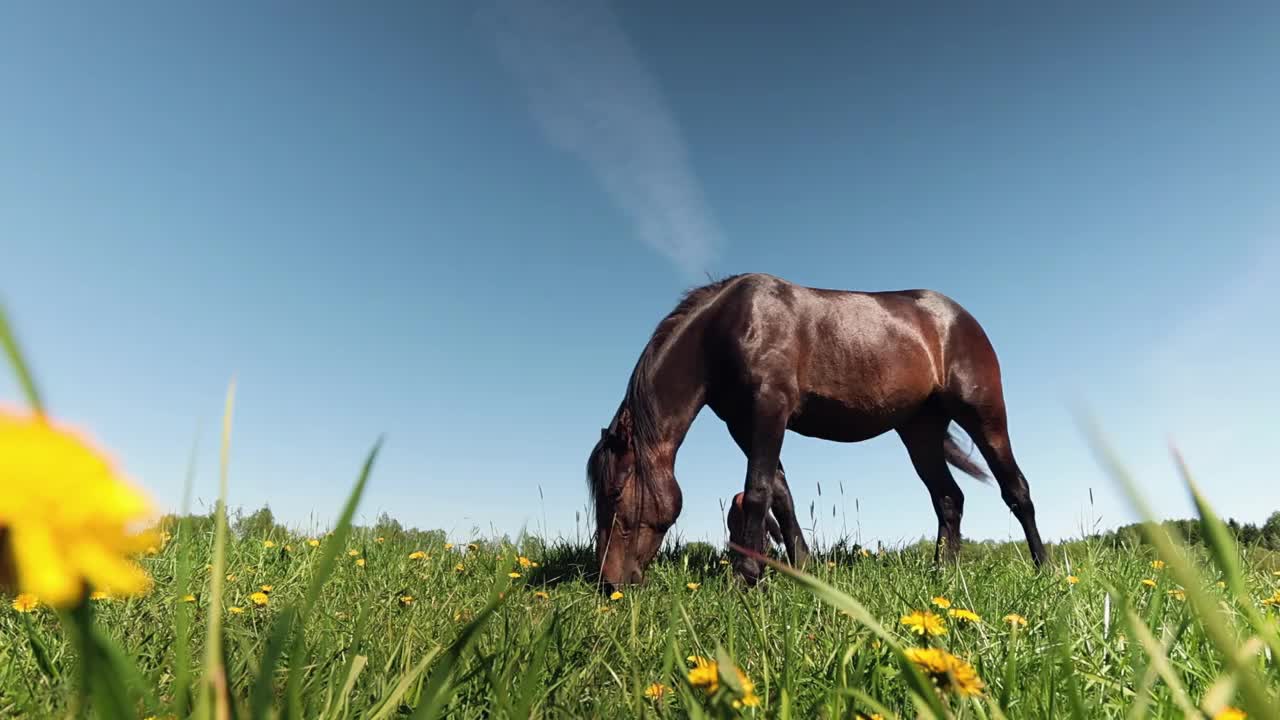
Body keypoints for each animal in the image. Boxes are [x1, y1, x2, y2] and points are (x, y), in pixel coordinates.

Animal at [588, 271, 1049, 591]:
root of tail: (958, 317)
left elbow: (757, 490)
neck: (727, 327)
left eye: (615, 493)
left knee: (1016, 489)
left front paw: (746, 577)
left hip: (985, 415)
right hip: (919, 429)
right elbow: (780, 494)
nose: (609, 583)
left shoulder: (769, 409)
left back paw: (1045, 569)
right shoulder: (743, 422)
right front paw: (802, 569)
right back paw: (944, 574)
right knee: (949, 499)